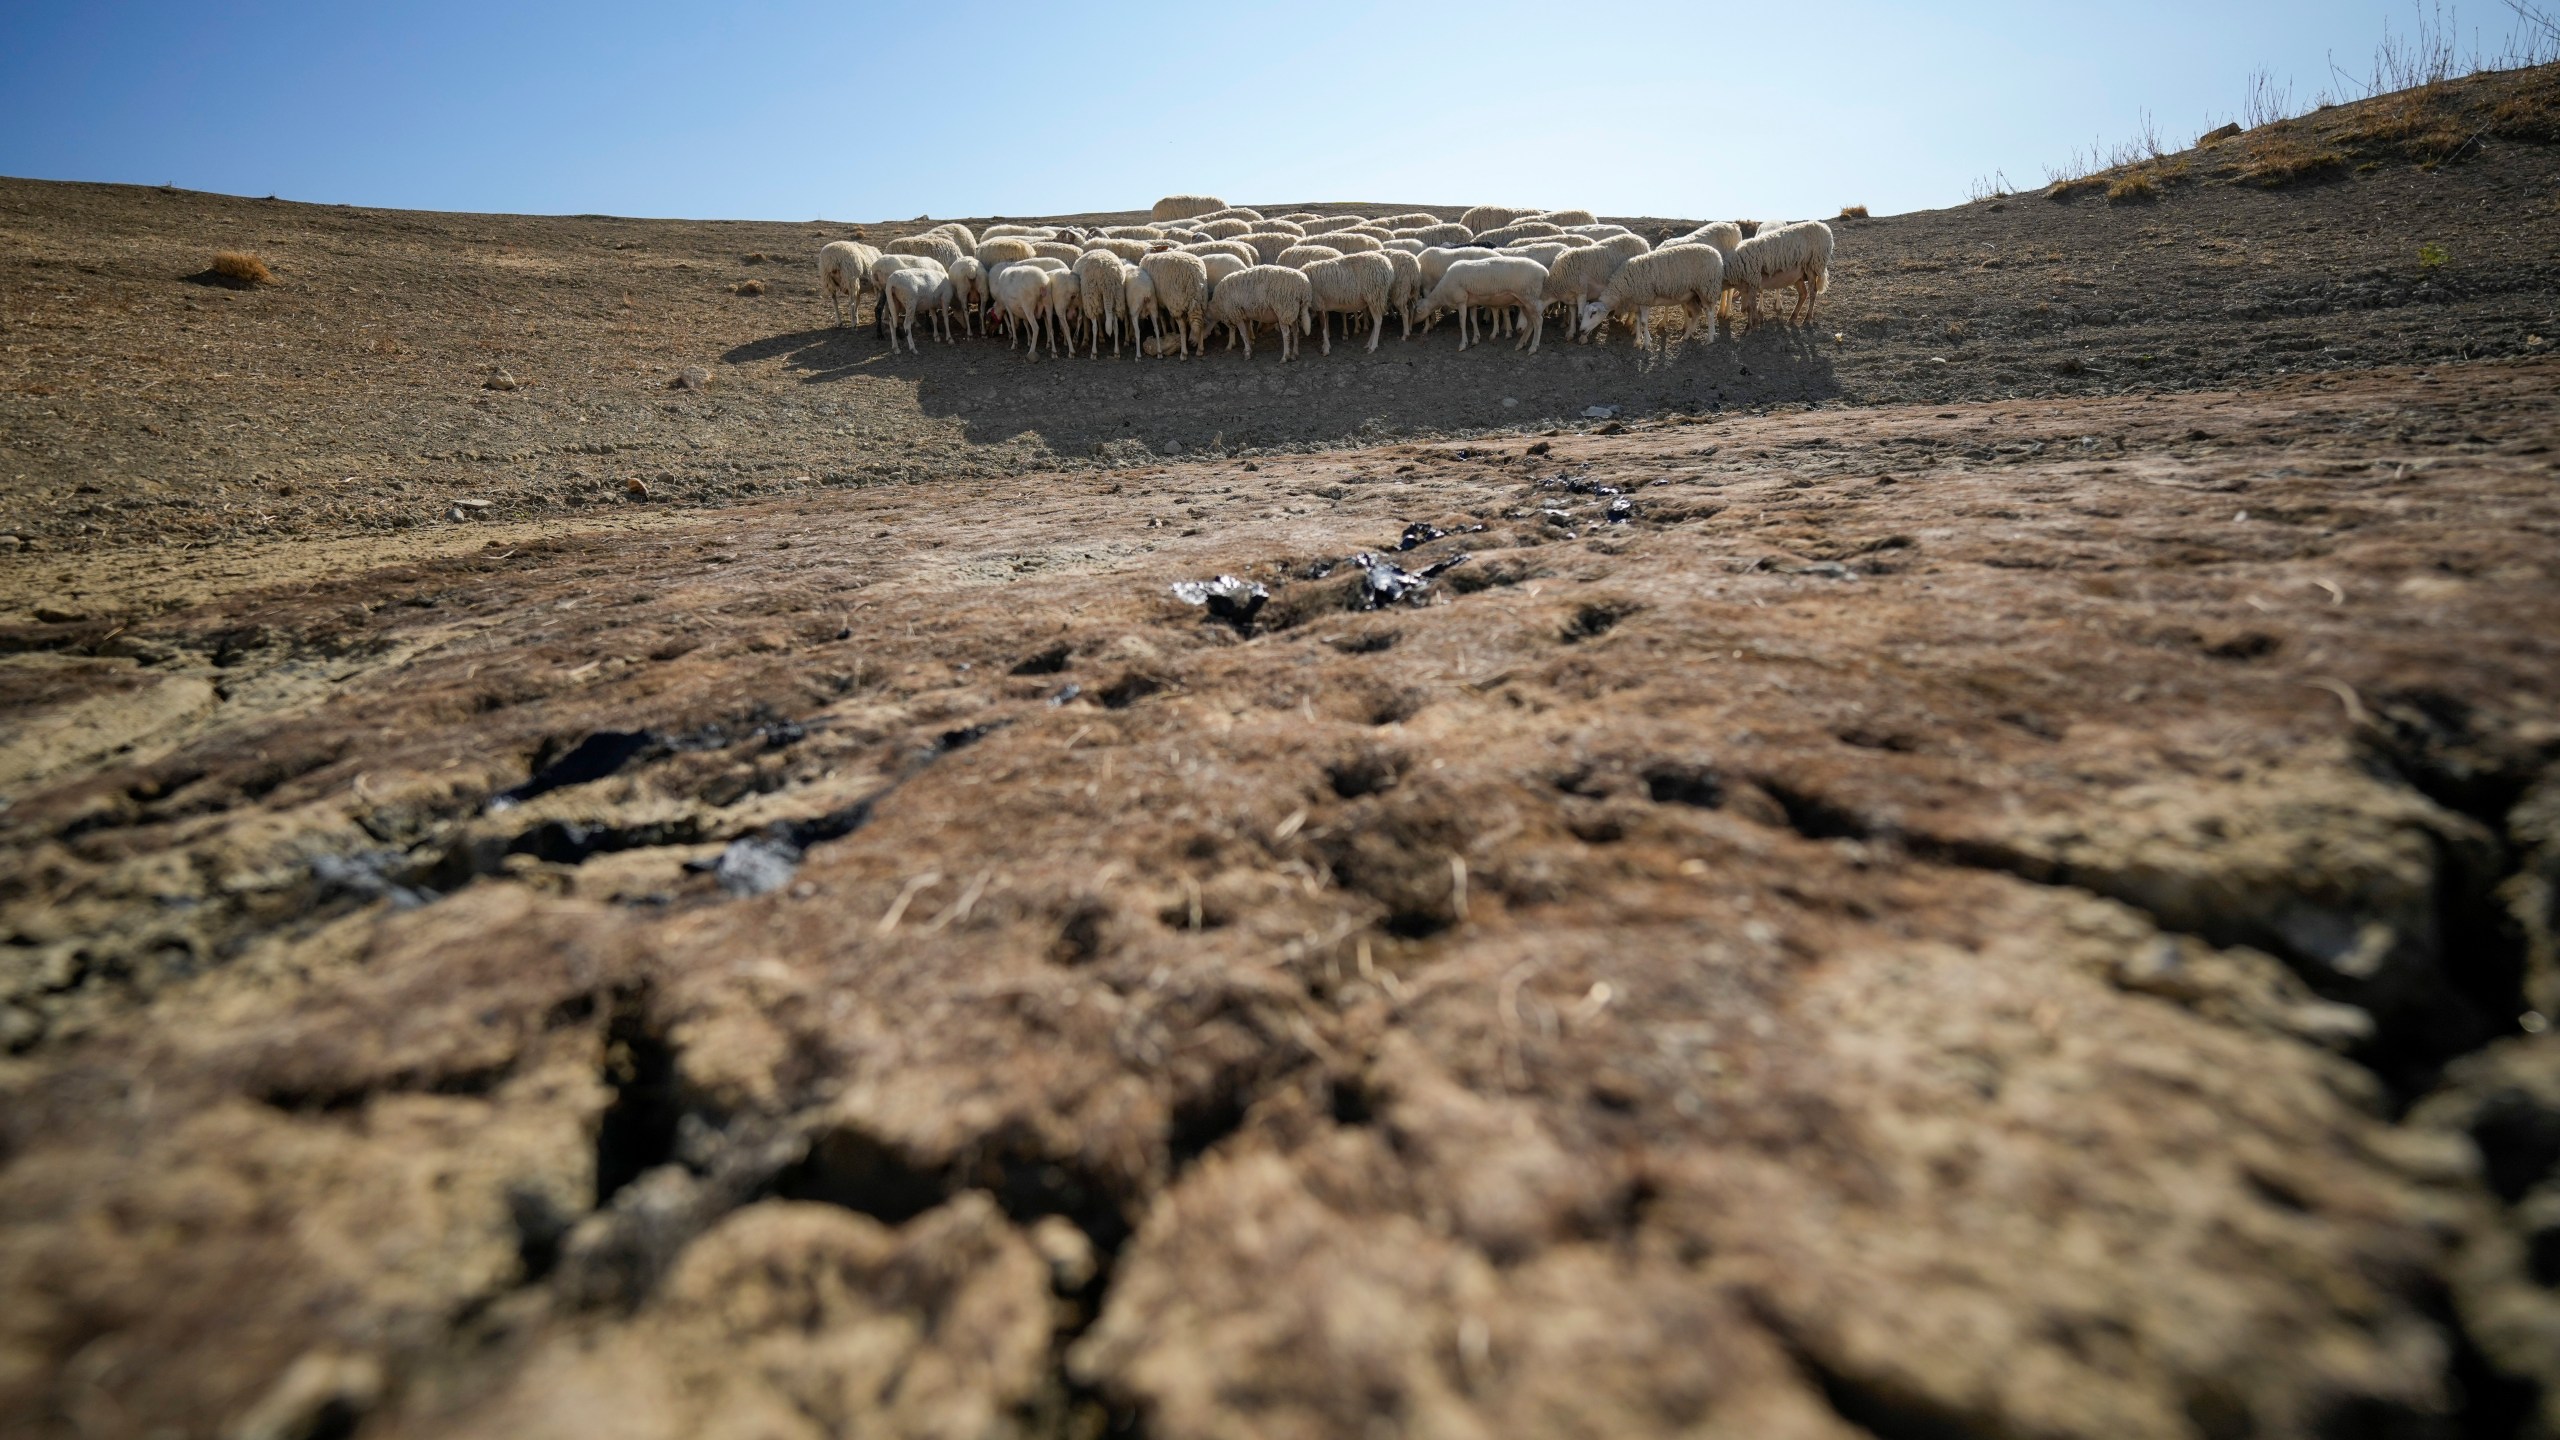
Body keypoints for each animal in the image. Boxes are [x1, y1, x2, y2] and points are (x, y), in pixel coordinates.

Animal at [1413, 254, 1546, 351]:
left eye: (1417, 311)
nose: (1412, 323)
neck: (1442, 293)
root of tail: (1544, 271)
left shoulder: (1461, 300)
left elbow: (1462, 322)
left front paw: (1463, 344)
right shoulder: (1472, 303)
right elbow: (1473, 320)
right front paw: (1476, 339)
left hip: (1530, 298)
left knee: (1538, 321)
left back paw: (1533, 347)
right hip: (1524, 302)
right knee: (1531, 322)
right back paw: (1520, 344)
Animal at [1566, 242, 1730, 348]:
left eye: (1593, 313)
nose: (1581, 330)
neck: (1623, 285)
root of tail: (1716, 254)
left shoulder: (1644, 298)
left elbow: (1644, 322)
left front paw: (1646, 343)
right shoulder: (1638, 301)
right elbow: (1638, 320)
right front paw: (1637, 341)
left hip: (1706, 288)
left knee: (1709, 313)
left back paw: (1710, 338)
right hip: (1691, 294)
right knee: (1696, 313)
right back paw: (1686, 336)